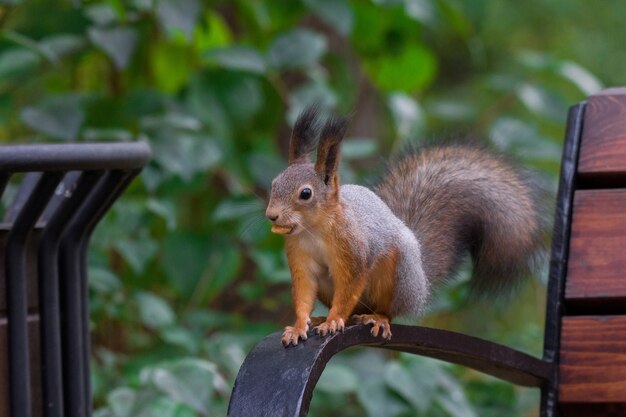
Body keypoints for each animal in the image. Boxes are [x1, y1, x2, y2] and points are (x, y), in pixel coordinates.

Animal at [266, 105, 544, 346]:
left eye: (305, 193)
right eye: (274, 183)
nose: (271, 215)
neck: (313, 230)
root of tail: (421, 286)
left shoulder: (353, 252)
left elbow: (348, 289)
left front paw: (334, 320)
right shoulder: (299, 256)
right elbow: (304, 292)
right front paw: (299, 326)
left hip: (399, 273)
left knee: (388, 309)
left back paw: (377, 318)